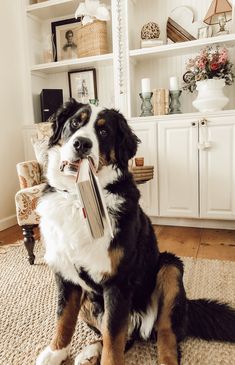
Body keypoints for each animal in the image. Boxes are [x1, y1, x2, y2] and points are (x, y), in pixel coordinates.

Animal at [36, 99, 235, 364]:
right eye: (75, 123)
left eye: (104, 131)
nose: (82, 144)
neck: (80, 198)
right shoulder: (65, 273)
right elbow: (64, 318)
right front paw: (55, 353)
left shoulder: (118, 282)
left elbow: (113, 339)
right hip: (92, 297)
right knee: (125, 337)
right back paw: (90, 352)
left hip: (170, 268)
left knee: (166, 334)